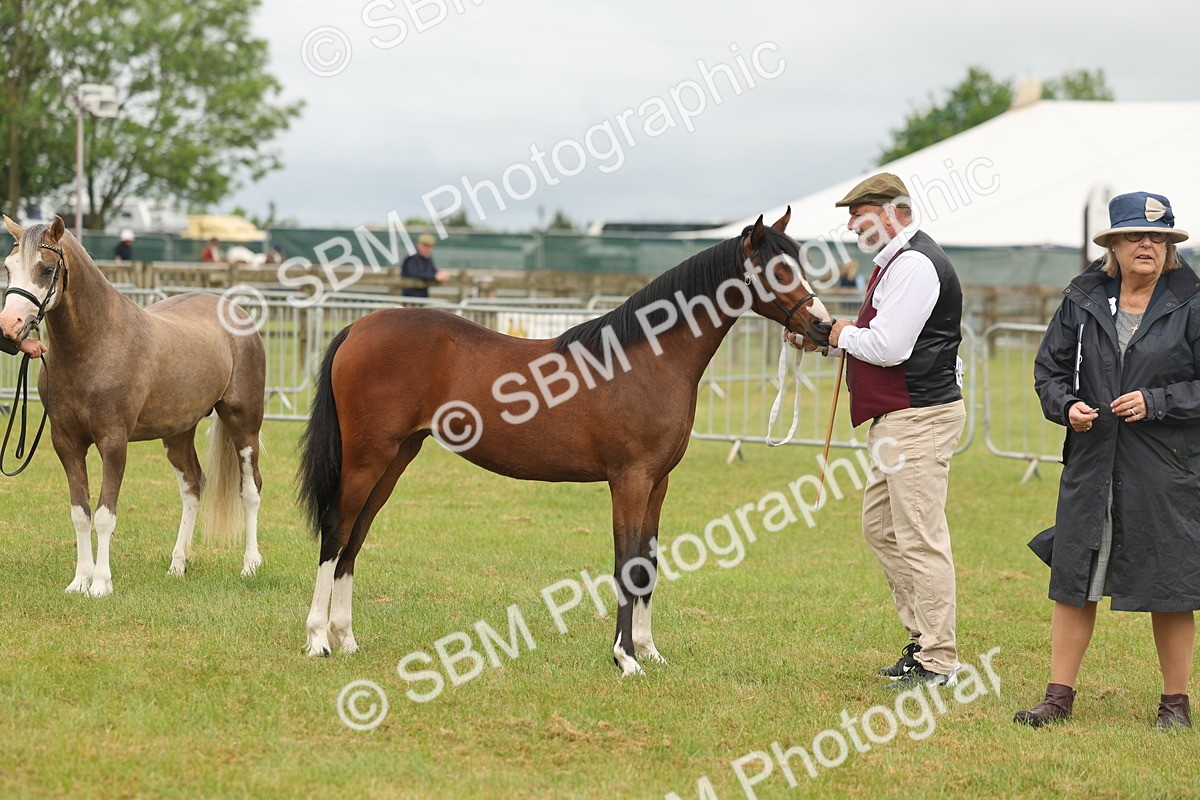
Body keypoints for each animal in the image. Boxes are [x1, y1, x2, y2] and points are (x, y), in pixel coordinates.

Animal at [0, 215, 267, 596]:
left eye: (47, 268)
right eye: (8, 267)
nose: (10, 326)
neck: (96, 345)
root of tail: (236, 313)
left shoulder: (114, 443)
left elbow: (104, 515)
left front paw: (101, 584)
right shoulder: (66, 443)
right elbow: (80, 513)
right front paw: (79, 581)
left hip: (244, 424)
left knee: (250, 489)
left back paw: (249, 565)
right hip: (178, 433)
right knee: (193, 487)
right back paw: (177, 564)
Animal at [297, 209, 831, 675]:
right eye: (777, 268)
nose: (823, 325)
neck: (646, 358)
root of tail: (358, 326)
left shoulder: (658, 483)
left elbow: (650, 564)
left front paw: (649, 651)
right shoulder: (630, 480)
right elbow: (627, 563)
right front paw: (625, 659)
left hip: (395, 459)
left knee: (355, 537)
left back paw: (346, 640)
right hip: (368, 458)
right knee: (336, 530)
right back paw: (318, 640)